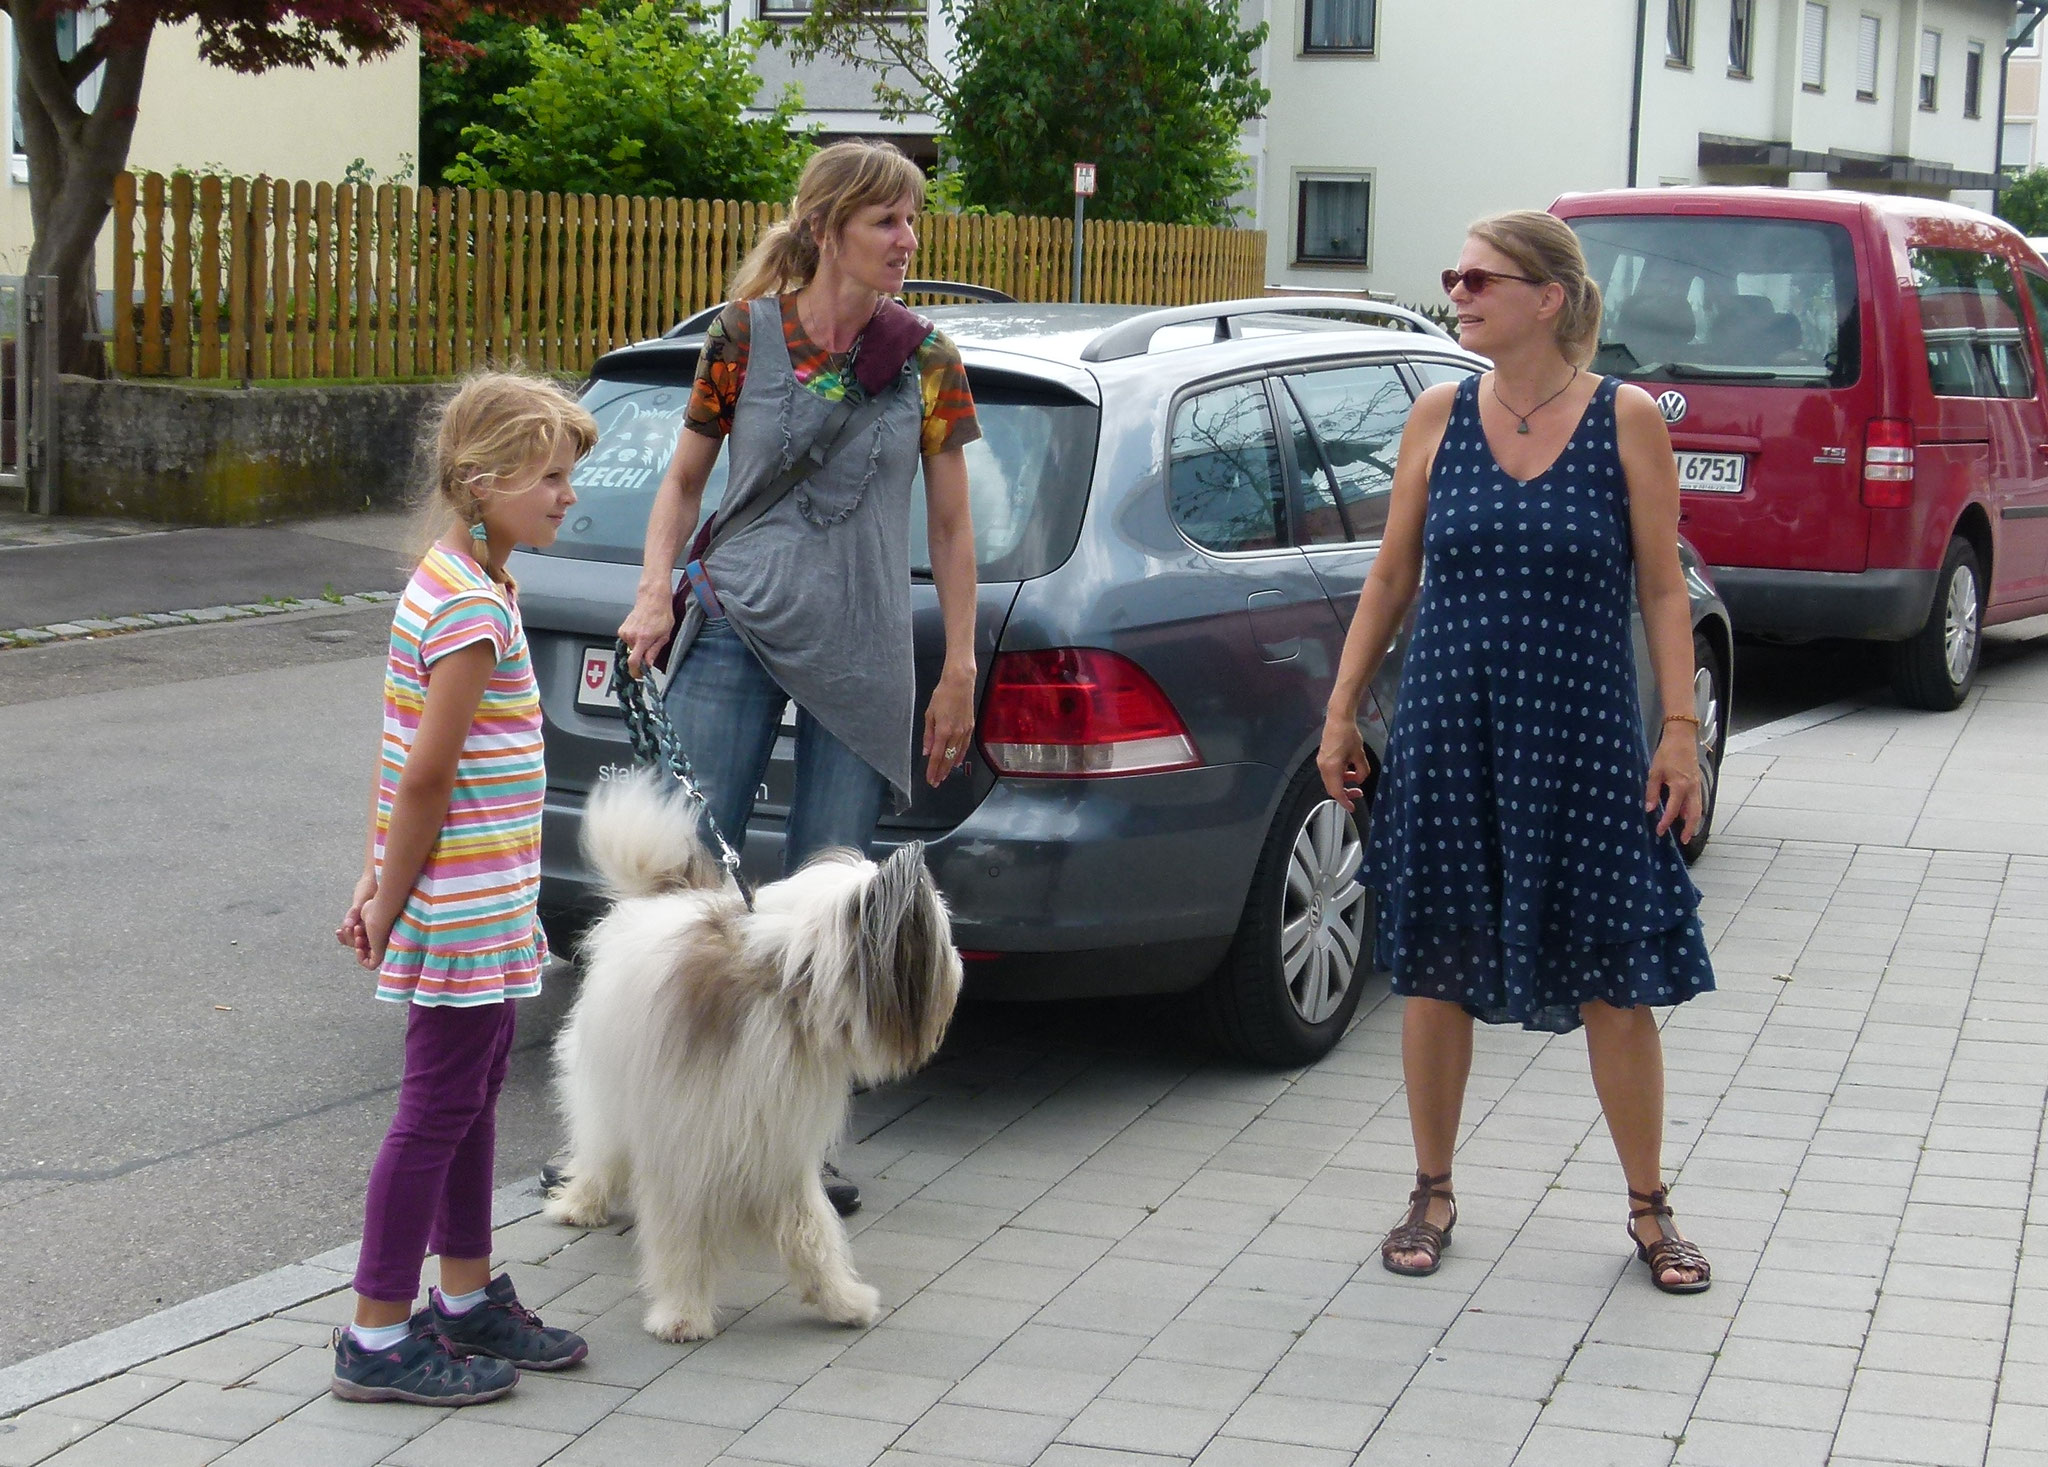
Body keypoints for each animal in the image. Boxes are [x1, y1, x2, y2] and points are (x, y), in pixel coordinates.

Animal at [544, 774, 958, 1344]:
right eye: (940, 933)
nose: (960, 969)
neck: (790, 985)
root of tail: (668, 892)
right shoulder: (687, 1145)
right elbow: (682, 1235)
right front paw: (682, 1312)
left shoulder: (776, 1141)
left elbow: (811, 1230)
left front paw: (840, 1299)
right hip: (607, 1083)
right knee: (600, 1145)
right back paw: (580, 1203)